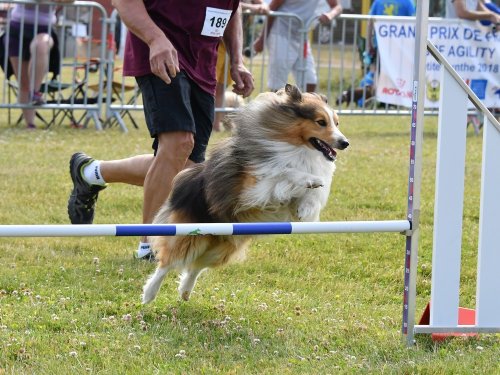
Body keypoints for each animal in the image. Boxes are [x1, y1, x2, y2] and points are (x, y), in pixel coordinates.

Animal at [143, 83, 350, 304]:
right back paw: (149, 293)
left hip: (224, 247)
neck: (296, 147)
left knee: (196, 267)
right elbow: (285, 170)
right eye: (321, 122)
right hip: (189, 237)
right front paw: (312, 180)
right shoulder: (253, 186)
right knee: (168, 262)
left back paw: (185, 291)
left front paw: (305, 207)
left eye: (337, 122)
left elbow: (307, 198)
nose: (345, 143)